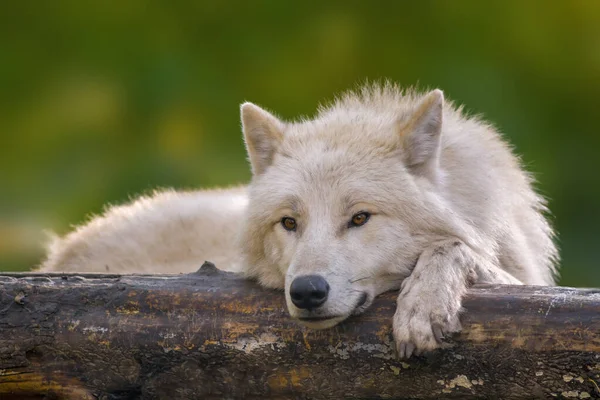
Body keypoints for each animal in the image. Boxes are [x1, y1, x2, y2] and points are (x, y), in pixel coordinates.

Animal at [41, 83, 556, 358]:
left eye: (360, 218)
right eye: (289, 223)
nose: (307, 291)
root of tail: (63, 247)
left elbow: (457, 246)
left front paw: (424, 305)